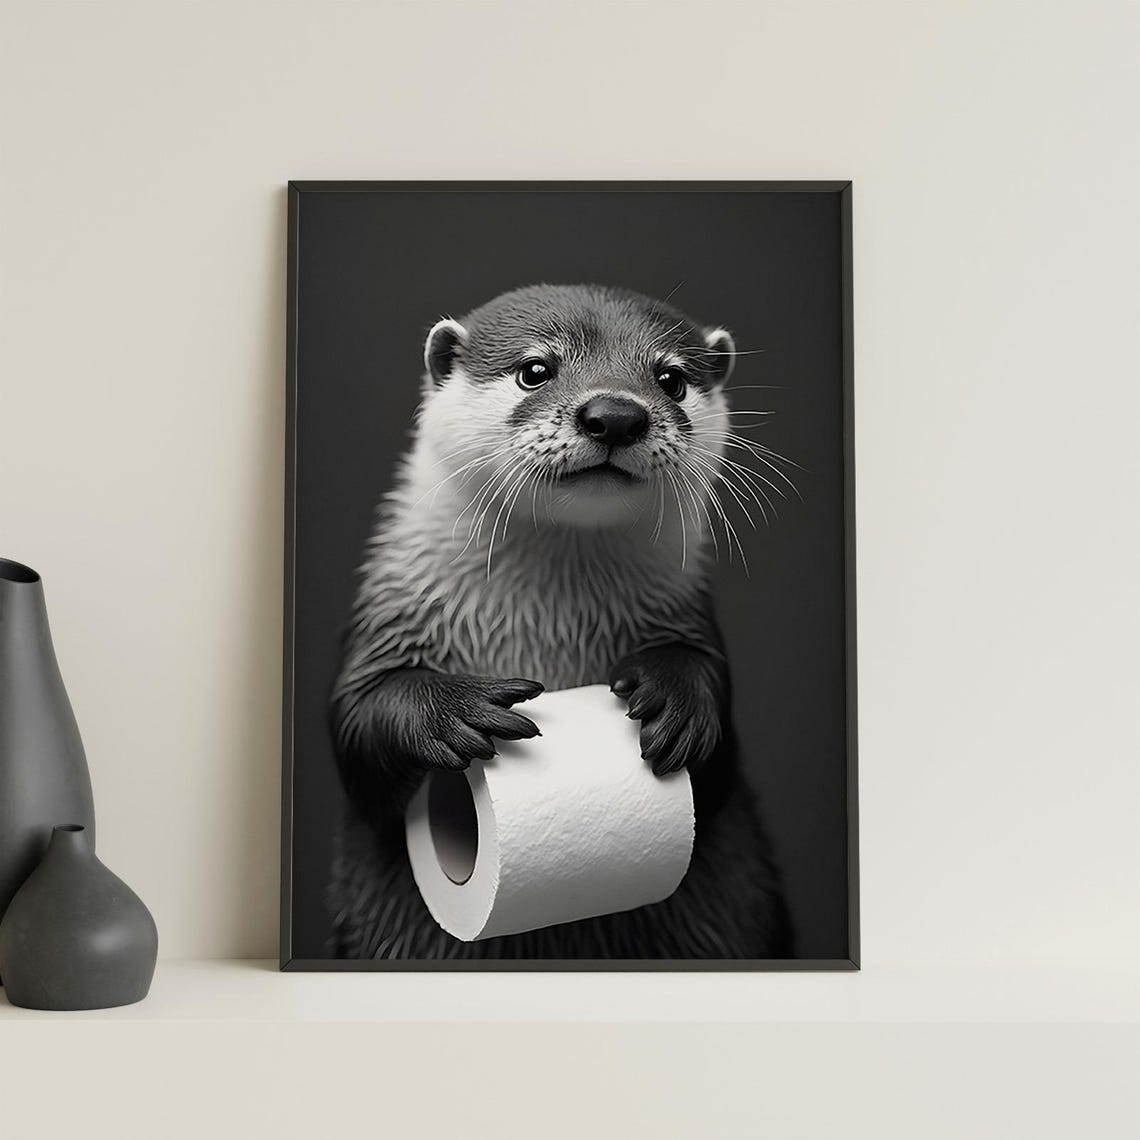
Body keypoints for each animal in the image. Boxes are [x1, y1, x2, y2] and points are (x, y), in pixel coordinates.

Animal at [328, 284, 791, 959]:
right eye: (535, 369)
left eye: (672, 379)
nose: (615, 414)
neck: (545, 621)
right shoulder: (389, 615)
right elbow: (359, 724)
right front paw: (457, 713)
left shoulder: (691, 620)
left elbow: (715, 754)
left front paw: (676, 698)